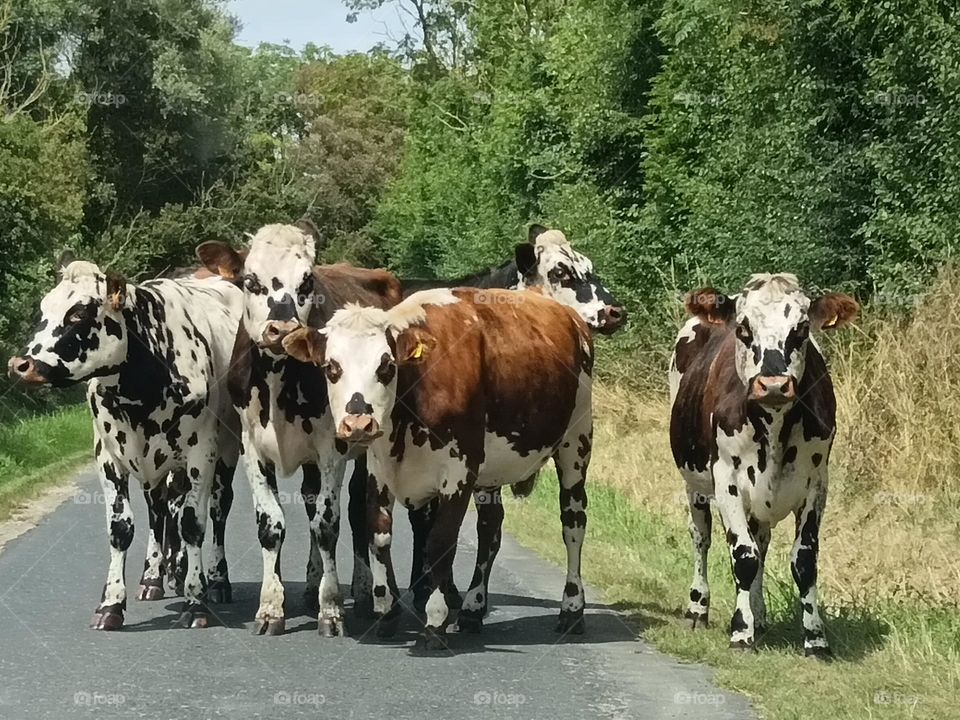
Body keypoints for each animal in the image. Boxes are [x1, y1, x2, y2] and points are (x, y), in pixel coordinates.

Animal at [8, 256, 242, 628]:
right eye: (45, 308)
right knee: (160, 510)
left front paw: (197, 601)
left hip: (227, 450)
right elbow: (122, 528)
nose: (21, 364)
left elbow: (193, 525)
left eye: (79, 313)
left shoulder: (200, 454)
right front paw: (112, 604)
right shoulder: (108, 455)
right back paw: (154, 577)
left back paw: (217, 581)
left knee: (219, 509)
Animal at [199, 221, 402, 636]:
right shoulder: (252, 447)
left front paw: (331, 608)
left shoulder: (331, 448)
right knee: (309, 500)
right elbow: (271, 524)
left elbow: (327, 524)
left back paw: (359, 588)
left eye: (307, 280)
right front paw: (271, 608)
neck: (278, 377)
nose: (282, 329)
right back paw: (310, 584)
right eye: (250, 280)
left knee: (356, 510)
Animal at [280, 288, 592, 652]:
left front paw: (436, 620)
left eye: (386, 365)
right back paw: (472, 609)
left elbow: (440, 543)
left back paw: (572, 609)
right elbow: (379, 536)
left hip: (577, 442)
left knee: (573, 523)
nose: (358, 423)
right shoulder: (379, 470)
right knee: (490, 529)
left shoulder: (459, 472)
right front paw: (387, 613)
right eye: (331, 367)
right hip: (491, 470)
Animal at [672, 272, 860, 656]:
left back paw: (758, 615)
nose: (773, 384)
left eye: (801, 329)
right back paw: (698, 607)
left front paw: (815, 637)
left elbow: (804, 560)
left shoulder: (817, 483)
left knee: (761, 541)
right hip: (694, 484)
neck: (773, 426)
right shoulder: (726, 481)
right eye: (743, 328)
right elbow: (743, 556)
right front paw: (740, 632)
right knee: (702, 538)